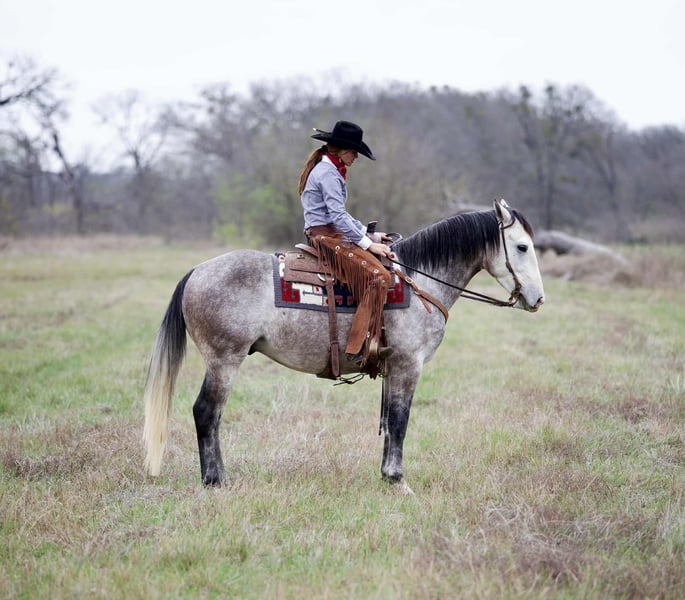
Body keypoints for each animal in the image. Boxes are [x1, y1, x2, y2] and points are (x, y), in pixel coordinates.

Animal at [143, 199, 545, 492]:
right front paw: (398, 481)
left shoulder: (393, 368)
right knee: (206, 412)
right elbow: (400, 420)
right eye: (522, 246)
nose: (538, 299)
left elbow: (390, 421)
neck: (418, 283)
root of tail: (196, 272)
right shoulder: (408, 364)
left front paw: (386, 477)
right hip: (224, 360)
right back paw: (214, 481)